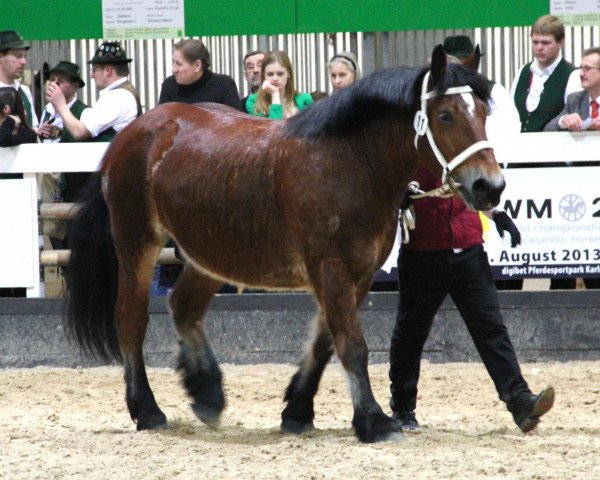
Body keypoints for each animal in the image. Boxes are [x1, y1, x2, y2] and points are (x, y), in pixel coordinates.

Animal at [64, 45, 506, 442]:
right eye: (446, 115)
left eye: (486, 114)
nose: (491, 186)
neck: (348, 162)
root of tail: (134, 132)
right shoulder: (330, 268)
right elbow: (352, 344)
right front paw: (374, 421)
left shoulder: (358, 275)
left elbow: (325, 342)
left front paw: (298, 411)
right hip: (137, 244)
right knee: (131, 320)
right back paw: (148, 410)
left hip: (213, 252)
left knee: (183, 306)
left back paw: (207, 392)